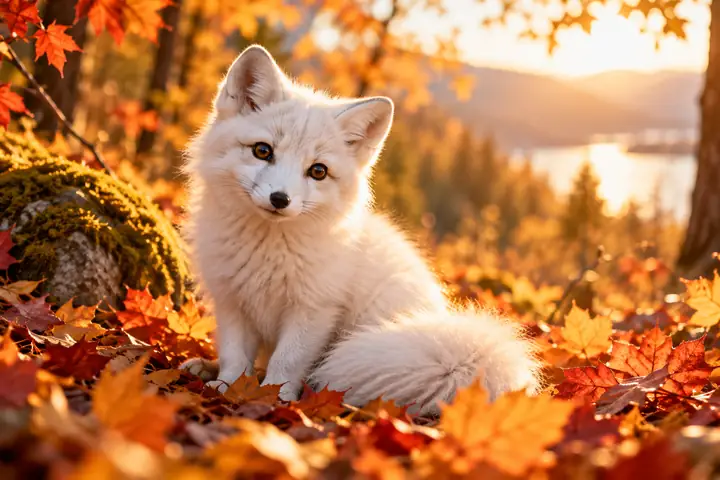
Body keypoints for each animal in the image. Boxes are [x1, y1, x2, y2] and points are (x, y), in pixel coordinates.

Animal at [180, 44, 541, 415]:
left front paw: (273, 400)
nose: (280, 199)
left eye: (318, 171)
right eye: (262, 151)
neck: (265, 250)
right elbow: (235, 360)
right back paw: (203, 368)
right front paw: (226, 389)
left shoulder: (313, 310)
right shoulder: (232, 301)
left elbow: (284, 365)